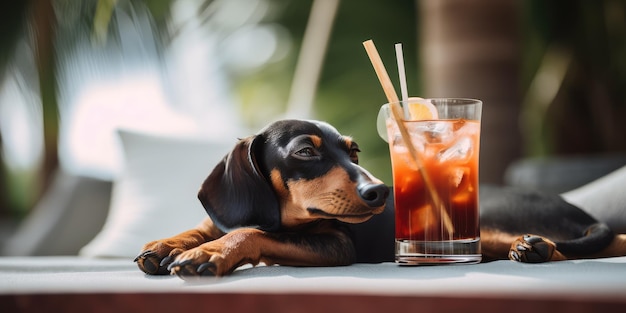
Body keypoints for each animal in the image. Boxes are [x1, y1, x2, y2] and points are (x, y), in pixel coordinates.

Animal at [136, 118, 624, 276]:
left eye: (353, 152)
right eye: (306, 152)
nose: (379, 191)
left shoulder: (336, 245)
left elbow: (255, 232)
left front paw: (212, 252)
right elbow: (212, 225)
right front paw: (165, 244)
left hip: (486, 225)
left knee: (592, 242)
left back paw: (535, 246)